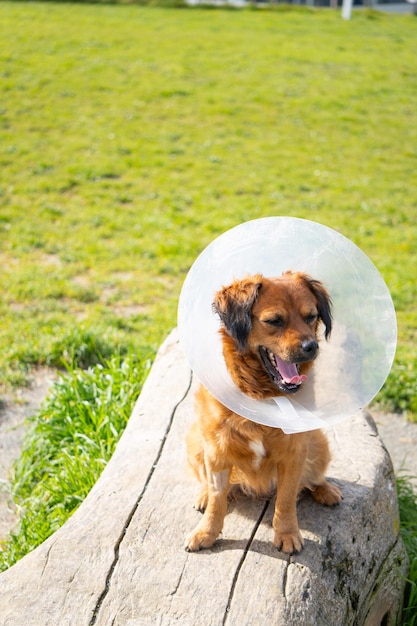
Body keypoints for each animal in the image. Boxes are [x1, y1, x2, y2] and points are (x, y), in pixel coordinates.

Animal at [185, 270, 342, 552]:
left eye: (311, 316)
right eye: (274, 321)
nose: (311, 346)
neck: (262, 395)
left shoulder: (294, 453)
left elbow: (286, 499)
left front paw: (287, 533)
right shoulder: (216, 451)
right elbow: (217, 498)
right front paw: (206, 533)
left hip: (318, 442)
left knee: (312, 479)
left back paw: (326, 490)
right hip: (195, 442)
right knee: (208, 484)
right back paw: (202, 495)